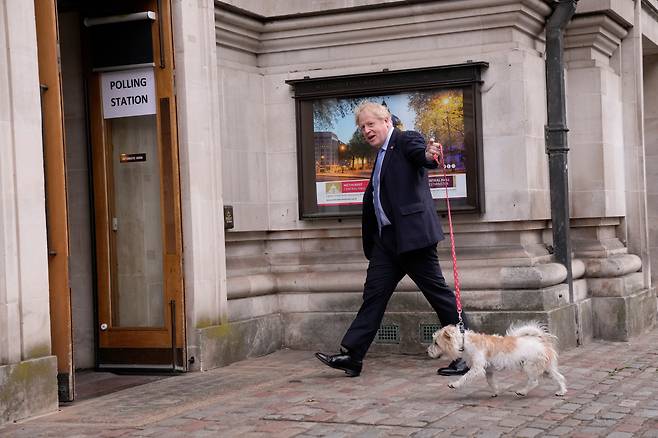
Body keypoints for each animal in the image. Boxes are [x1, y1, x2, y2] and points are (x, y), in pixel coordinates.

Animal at [428, 322, 568, 396]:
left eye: (436, 343)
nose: (427, 351)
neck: (465, 341)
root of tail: (542, 341)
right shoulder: (488, 370)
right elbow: (491, 382)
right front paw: (495, 391)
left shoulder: (477, 368)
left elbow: (465, 377)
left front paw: (455, 384)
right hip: (547, 369)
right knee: (559, 377)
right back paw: (561, 391)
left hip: (530, 366)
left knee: (534, 382)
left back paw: (522, 391)